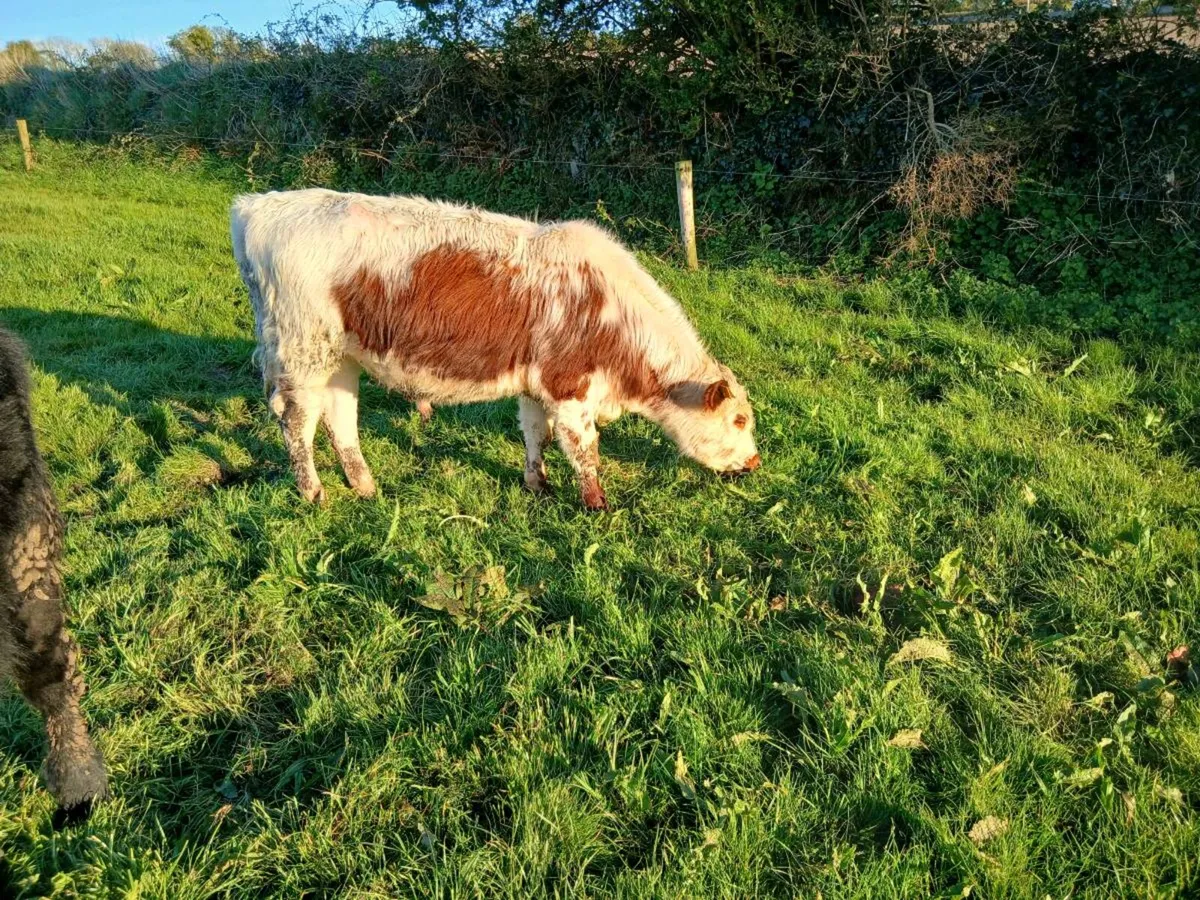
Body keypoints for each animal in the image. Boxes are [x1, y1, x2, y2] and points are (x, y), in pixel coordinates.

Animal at [230, 189, 760, 510]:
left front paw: (538, 486)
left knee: (340, 418)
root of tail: (260, 206)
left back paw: (365, 486)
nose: (755, 462)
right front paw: (597, 505)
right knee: (298, 423)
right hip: (302, 354)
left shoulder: (537, 385)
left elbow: (535, 436)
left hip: (342, 359)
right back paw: (313, 492)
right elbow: (584, 449)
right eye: (738, 420)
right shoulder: (570, 390)